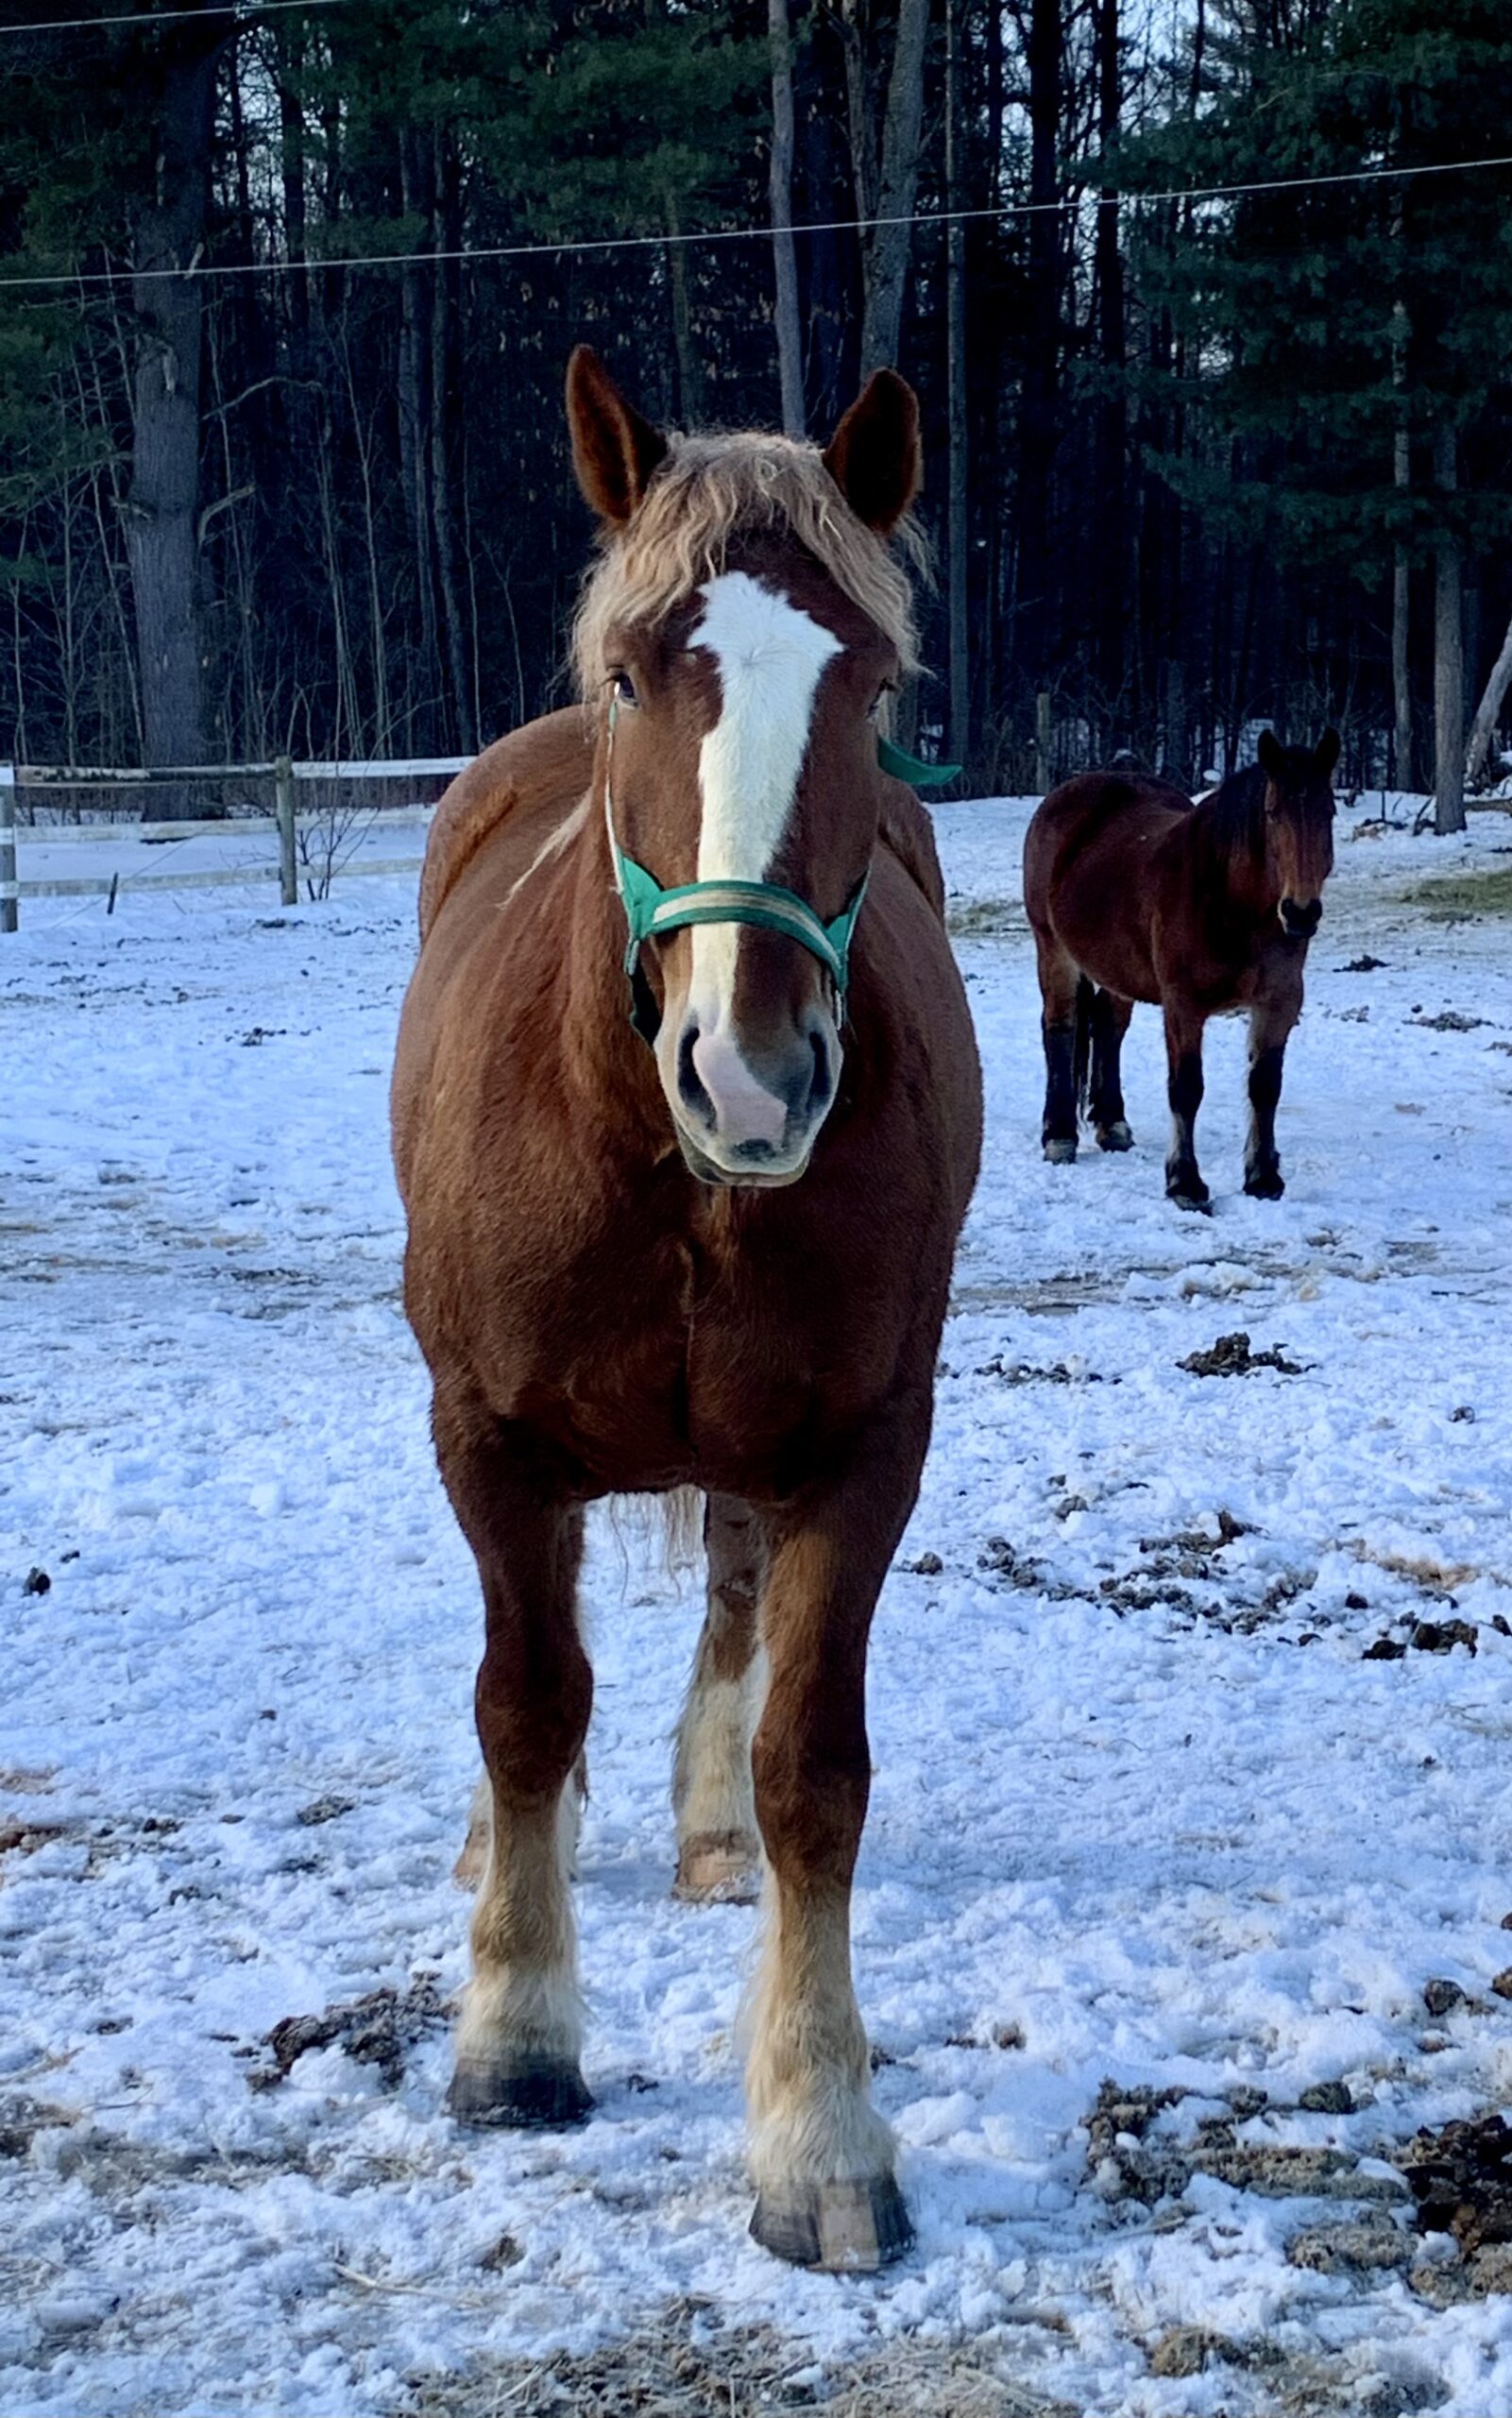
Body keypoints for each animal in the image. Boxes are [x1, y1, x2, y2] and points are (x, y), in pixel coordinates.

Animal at [391, 347, 982, 2271]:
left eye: (871, 682)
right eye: (640, 671)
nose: (752, 1072)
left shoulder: (864, 1450)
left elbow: (816, 1770)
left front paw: (819, 2136)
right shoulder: (487, 1438)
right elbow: (522, 1700)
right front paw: (513, 2040)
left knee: (728, 1603)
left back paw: (704, 1829)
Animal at [1022, 728, 1339, 1209]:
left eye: (1330, 812)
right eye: (1271, 814)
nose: (1300, 913)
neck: (1229, 903)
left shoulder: (1279, 1003)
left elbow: (1265, 1086)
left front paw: (1263, 1178)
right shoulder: (1183, 1006)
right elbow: (1187, 1089)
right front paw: (1185, 1183)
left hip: (1118, 971)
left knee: (1108, 1028)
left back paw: (1112, 1124)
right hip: (1053, 950)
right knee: (1060, 1028)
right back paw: (1059, 1136)